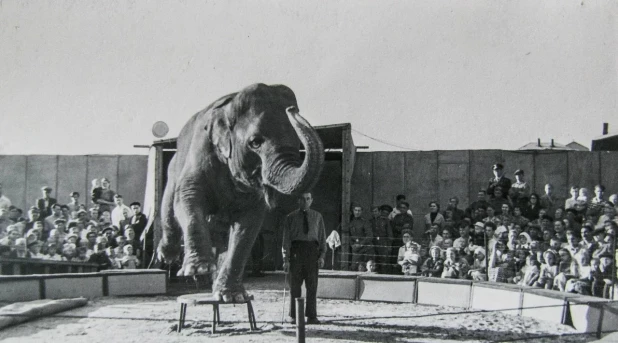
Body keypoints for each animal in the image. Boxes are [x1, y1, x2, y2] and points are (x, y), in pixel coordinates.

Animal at [156, 84, 324, 304]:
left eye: (298, 144)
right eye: (255, 142)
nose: (292, 110)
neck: (229, 107)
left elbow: (249, 224)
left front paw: (233, 296)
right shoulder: (200, 152)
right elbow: (188, 197)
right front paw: (197, 269)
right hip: (173, 169)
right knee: (169, 209)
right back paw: (168, 257)